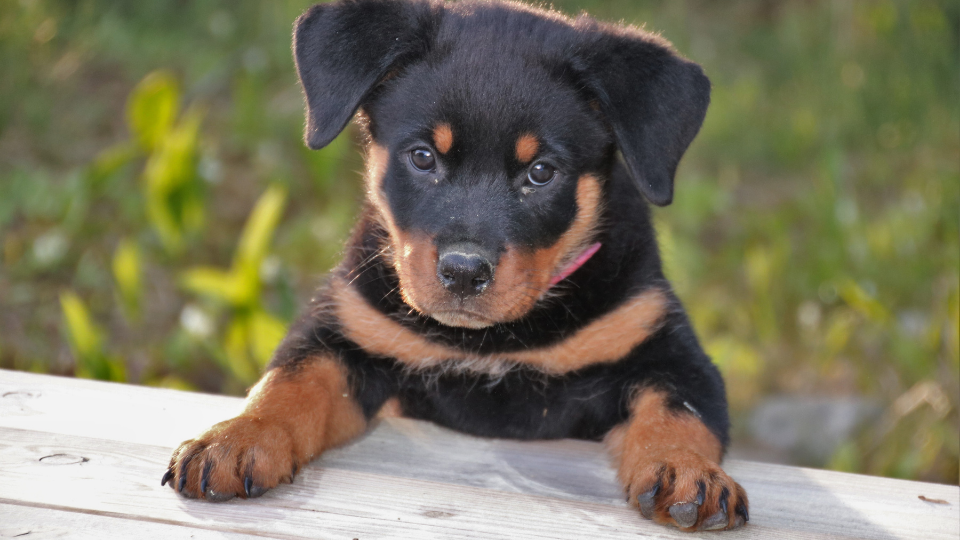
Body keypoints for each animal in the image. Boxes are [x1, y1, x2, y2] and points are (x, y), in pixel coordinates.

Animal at [163, 0, 752, 532]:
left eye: (542, 172)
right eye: (423, 157)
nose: (465, 272)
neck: (491, 343)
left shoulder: (668, 351)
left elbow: (678, 413)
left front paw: (687, 473)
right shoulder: (346, 332)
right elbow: (291, 380)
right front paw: (237, 438)